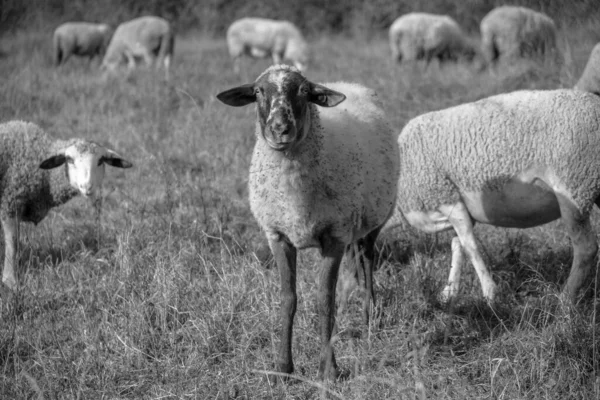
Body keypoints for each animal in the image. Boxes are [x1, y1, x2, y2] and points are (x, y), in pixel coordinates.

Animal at [0, 119, 132, 290]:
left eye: (100, 160)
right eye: (69, 159)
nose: (86, 186)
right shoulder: (10, 200)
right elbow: (13, 242)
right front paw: (10, 280)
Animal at [216, 64, 398, 380]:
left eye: (303, 91)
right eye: (258, 91)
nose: (280, 128)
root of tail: (347, 83)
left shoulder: (334, 237)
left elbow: (325, 301)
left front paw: (329, 370)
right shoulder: (278, 236)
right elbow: (288, 299)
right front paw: (283, 368)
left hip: (373, 220)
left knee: (366, 262)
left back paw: (369, 319)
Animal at [386, 89, 600, 304]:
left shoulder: (447, 199)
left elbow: (470, 246)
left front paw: (490, 294)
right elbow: (457, 245)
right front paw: (449, 293)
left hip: (575, 186)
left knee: (586, 249)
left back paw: (565, 298)